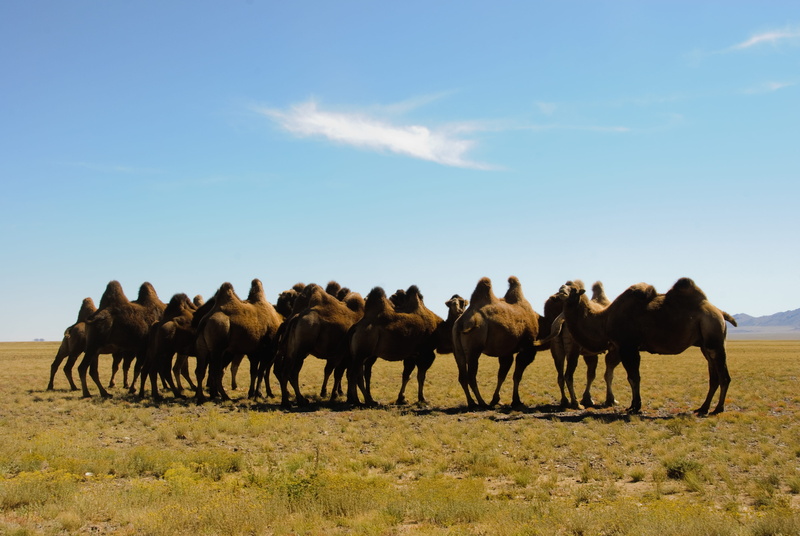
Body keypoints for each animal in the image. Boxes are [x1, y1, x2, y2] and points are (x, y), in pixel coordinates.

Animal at [452, 276, 544, 409]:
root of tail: (461, 322)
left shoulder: (506, 351)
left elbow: (502, 375)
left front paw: (497, 400)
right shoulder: (527, 349)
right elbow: (517, 375)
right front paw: (516, 401)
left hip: (457, 350)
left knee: (462, 376)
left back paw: (472, 402)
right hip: (474, 348)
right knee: (471, 376)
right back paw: (481, 402)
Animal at [542, 280, 617, 409]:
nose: (562, 290)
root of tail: (562, 319)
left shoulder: (590, 353)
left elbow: (591, 374)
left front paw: (588, 399)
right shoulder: (614, 348)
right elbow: (608, 374)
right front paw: (611, 400)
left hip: (557, 349)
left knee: (560, 375)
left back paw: (565, 401)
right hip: (573, 350)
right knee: (568, 375)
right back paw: (576, 403)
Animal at [553, 277, 737, 414]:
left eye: (574, 289)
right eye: (563, 285)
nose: (561, 290)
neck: (604, 321)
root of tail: (720, 313)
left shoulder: (628, 347)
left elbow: (633, 378)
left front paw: (635, 407)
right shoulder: (627, 348)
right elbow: (632, 377)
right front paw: (633, 405)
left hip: (714, 338)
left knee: (724, 376)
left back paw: (718, 409)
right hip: (705, 344)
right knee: (714, 376)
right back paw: (703, 408)